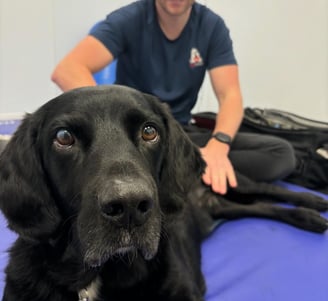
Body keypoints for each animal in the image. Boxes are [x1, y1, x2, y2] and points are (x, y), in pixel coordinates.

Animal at [0, 85, 326, 300]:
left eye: (149, 131)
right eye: (64, 137)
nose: (130, 206)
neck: (93, 277)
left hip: (234, 182)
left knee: (269, 190)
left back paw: (313, 203)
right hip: (227, 207)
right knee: (261, 206)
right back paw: (308, 217)